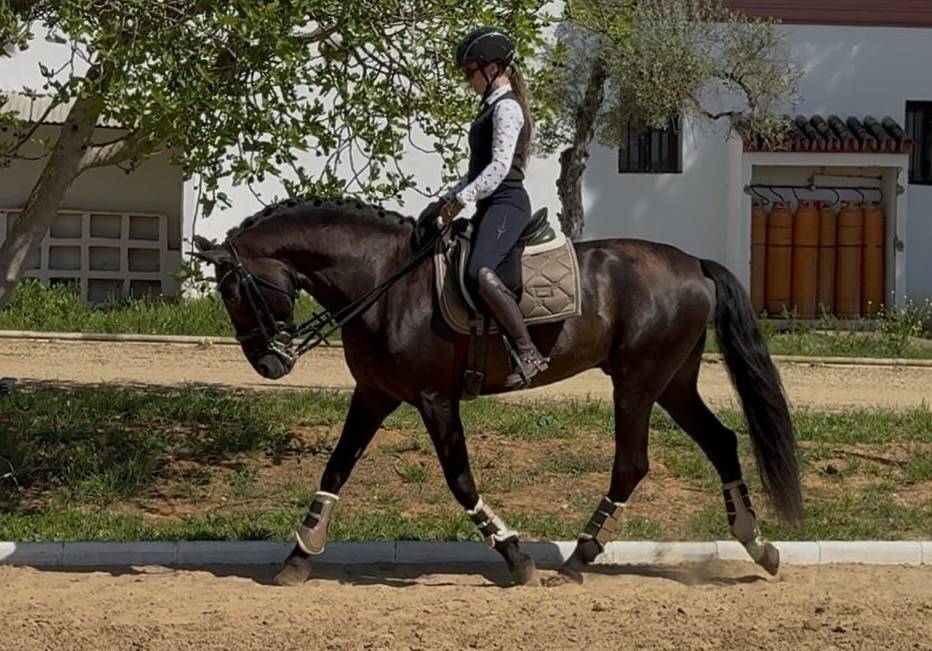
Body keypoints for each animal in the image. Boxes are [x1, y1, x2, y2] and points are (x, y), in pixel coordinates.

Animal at [193, 197, 801, 587]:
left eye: (234, 291)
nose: (268, 363)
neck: (386, 281)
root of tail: (693, 263)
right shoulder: (374, 393)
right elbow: (336, 469)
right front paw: (300, 554)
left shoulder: (435, 398)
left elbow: (459, 479)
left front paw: (514, 555)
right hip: (672, 382)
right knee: (721, 442)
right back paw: (759, 546)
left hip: (637, 382)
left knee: (632, 464)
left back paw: (577, 560)